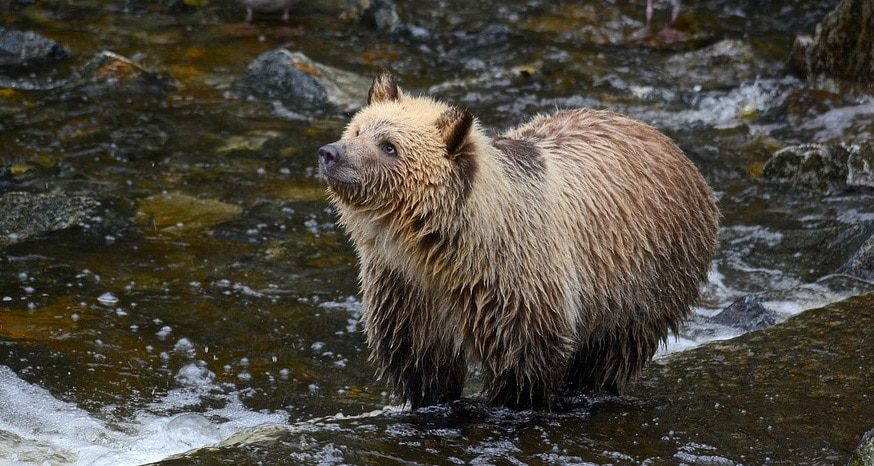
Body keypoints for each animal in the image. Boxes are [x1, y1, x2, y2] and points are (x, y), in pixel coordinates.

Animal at [318, 71, 716, 410]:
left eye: (389, 146)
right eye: (357, 129)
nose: (330, 153)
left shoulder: (515, 282)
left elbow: (523, 362)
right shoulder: (406, 289)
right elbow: (423, 361)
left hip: (645, 275)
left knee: (613, 349)